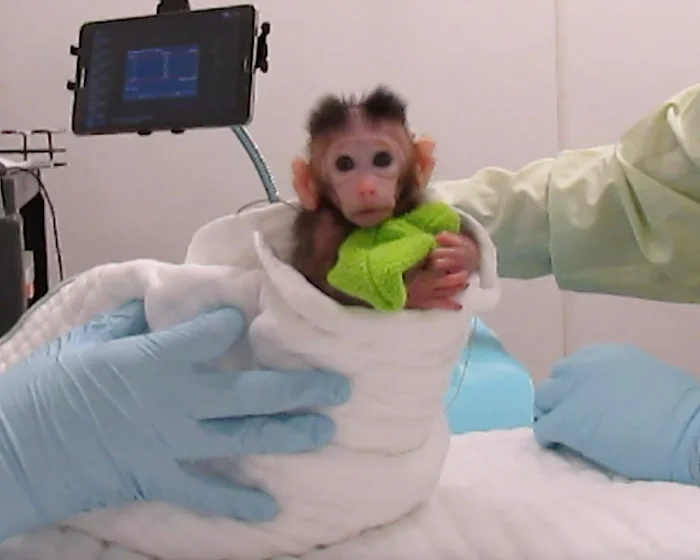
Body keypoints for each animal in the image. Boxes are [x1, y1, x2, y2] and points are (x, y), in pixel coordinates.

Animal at [289, 86, 478, 308]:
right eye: (344, 164)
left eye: (382, 159)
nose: (366, 188)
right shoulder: (321, 226)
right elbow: (317, 282)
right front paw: (417, 290)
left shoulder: (416, 201)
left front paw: (463, 252)